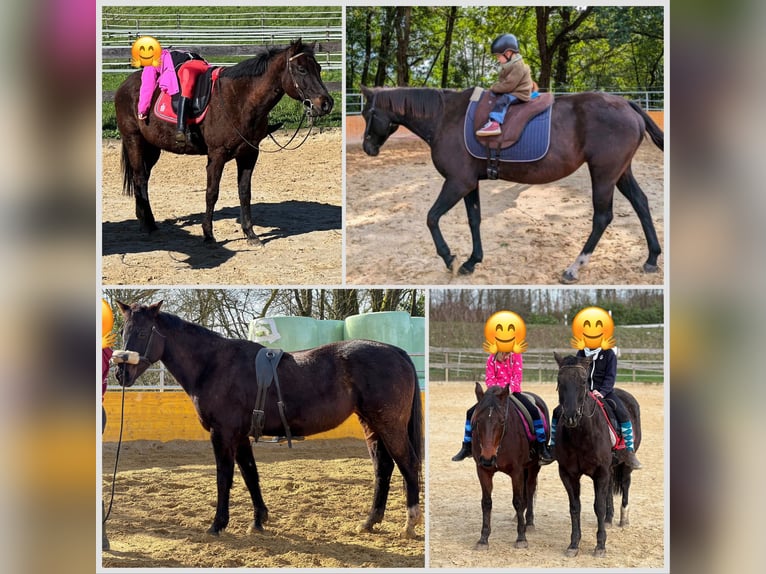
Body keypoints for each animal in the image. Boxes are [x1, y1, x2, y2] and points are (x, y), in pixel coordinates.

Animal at [114, 39, 332, 246]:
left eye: (318, 68)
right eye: (302, 69)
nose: (326, 103)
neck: (240, 100)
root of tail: (124, 85)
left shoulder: (249, 154)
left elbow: (245, 192)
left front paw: (250, 233)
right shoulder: (217, 155)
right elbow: (212, 193)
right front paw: (208, 234)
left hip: (152, 147)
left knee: (142, 178)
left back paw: (145, 219)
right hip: (134, 140)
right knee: (140, 179)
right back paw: (148, 225)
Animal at [115, 302, 426, 540]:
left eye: (142, 331)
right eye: (122, 331)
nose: (120, 374)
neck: (214, 364)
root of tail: (396, 351)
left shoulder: (222, 434)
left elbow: (224, 478)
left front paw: (217, 525)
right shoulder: (240, 436)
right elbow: (250, 475)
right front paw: (259, 520)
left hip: (389, 425)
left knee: (408, 464)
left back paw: (409, 524)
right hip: (371, 424)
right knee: (383, 468)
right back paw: (370, 521)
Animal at [362, 87, 664, 284]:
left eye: (369, 113)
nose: (367, 148)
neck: (445, 118)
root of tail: (627, 105)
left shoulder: (457, 182)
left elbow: (432, 217)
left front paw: (449, 258)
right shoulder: (470, 183)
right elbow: (474, 220)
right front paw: (472, 261)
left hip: (603, 173)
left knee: (602, 216)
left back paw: (574, 268)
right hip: (620, 172)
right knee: (641, 203)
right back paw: (651, 258)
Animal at [472, 384, 548, 552]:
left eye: (501, 421)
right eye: (478, 420)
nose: (488, 458)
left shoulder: (517, 471)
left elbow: (518, 501)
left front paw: (521, 538)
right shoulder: (483, 471)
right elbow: (486, 502)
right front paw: (483, 539)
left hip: (533, 466)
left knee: (530, 489)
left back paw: (529, 522)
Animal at [556, 354, 644, 560]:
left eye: (582, 382)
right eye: (559, 381)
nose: (570, 416)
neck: (581, 434)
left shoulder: (601, 472)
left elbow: (599, 506)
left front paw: (600, 545)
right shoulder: (568, 474)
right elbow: (575, 507)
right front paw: (573, 544)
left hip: (625, 464)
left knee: (625, 484)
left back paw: (623, 517)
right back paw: (609, 519)